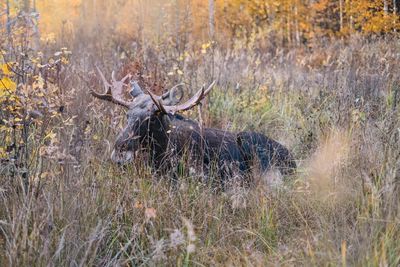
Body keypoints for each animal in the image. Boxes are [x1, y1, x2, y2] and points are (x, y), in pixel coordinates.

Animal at [90, 68, 296, 185]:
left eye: (151, 118)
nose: (120, 152)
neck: (161, 154)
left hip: (250, 142)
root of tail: (294, 160)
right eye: (128, 115)